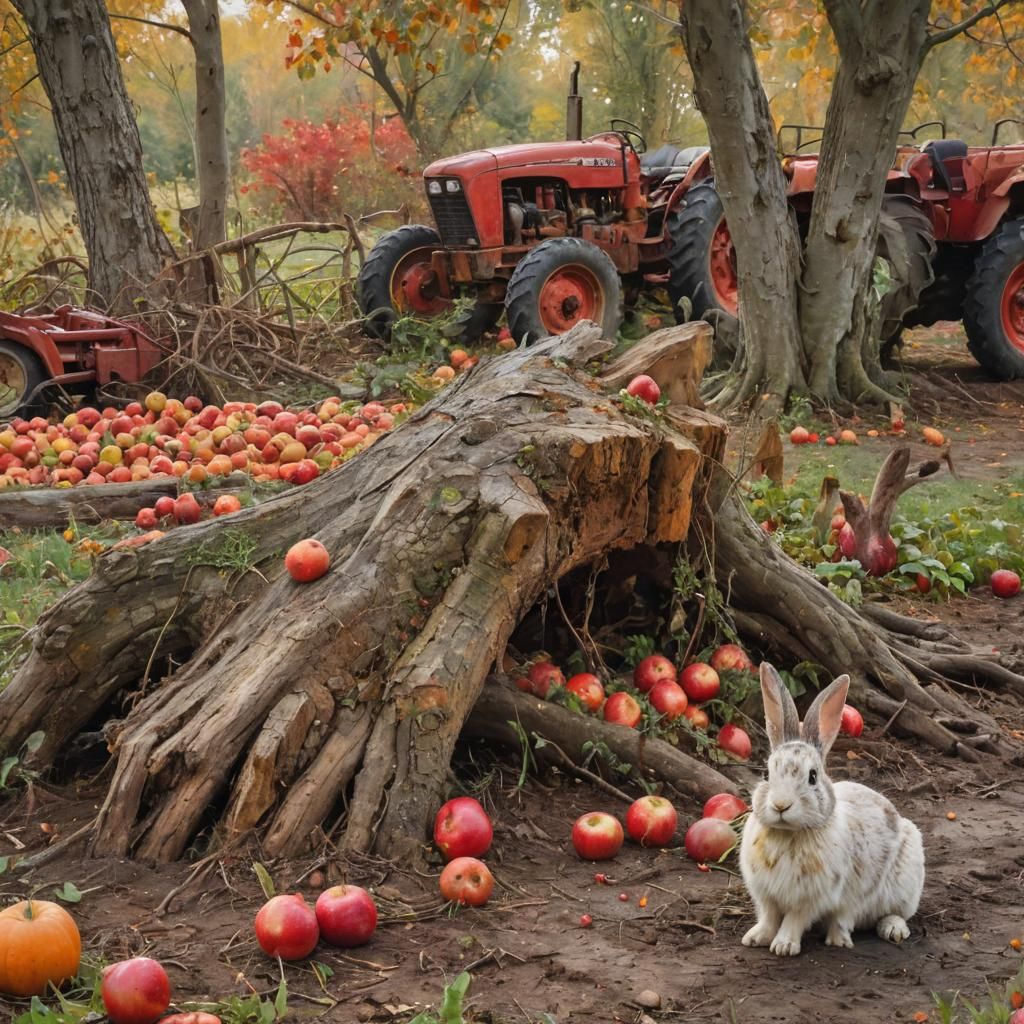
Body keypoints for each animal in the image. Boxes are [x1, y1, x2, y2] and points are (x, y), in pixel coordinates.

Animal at [739, 662, 924, 957]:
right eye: (766, 774)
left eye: (813, 776)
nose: (781, 805)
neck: (787, 834)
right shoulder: (766, 895)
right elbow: (769, 917)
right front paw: (756, 938)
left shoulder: (811, 897)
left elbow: (794, 919)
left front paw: (784, 946)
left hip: (906, 883)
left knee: (894, 913)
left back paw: (885, 931)